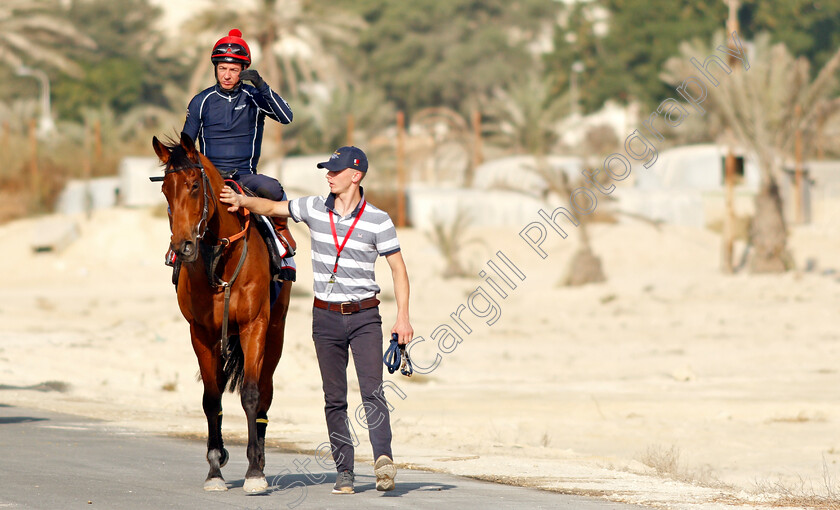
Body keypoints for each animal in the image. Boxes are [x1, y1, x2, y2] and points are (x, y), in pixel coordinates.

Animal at [151, 132, 292, 494]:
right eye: (165, 190)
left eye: (194, 185)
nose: (183, 246)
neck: (220, 259)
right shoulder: (201, 333)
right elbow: (211, 399)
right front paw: (215, 468)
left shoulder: (254, 325)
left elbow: (251, 394)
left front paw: (254, 471)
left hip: (275, 332)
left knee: (266, 392)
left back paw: (260, 459)